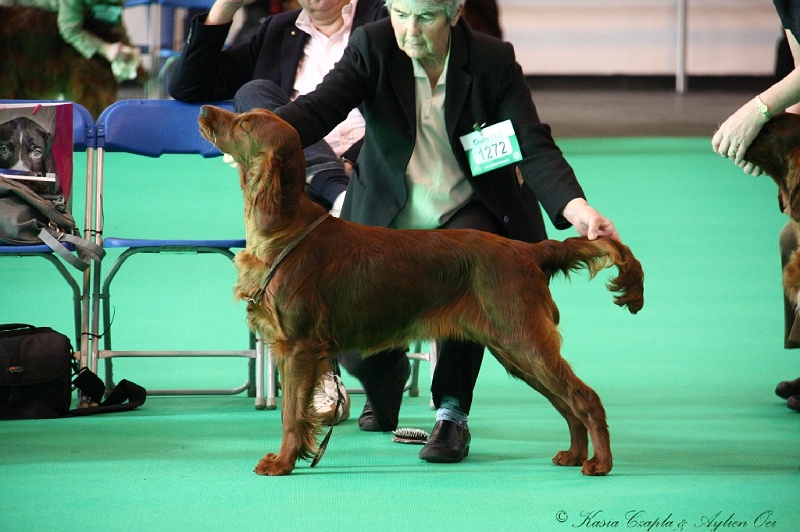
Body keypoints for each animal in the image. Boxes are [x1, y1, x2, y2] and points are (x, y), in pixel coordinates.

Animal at [197, 105, 648, 478]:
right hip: (516, 349)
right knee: (565, 401)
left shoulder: (298, 346)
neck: (284, 228)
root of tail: (529, 250)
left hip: (524, 339)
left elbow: (291, 414)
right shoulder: (296, 347)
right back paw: (572, 454)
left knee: (583, 397)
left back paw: (600, 463)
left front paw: (282, 462)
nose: (204, 109)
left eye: (244, 123)